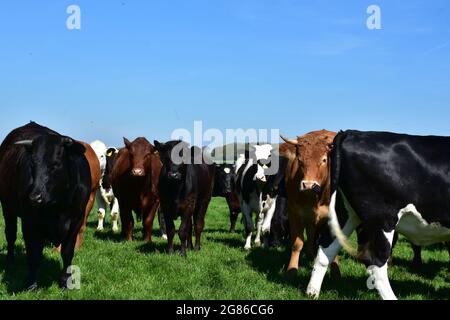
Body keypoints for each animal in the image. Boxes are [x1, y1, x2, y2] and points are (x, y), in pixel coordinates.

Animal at [0, 121, 94, 288]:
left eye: (56, 164)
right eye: (33, 164)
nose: (35, 197)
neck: (59, 206)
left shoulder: (76, 220)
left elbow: (67, 252)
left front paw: (65, 281)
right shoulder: (29, 222)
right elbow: (34, 253)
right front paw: (31, 283)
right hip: (7, 207)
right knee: (10, 234)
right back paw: (10, 262)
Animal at [280, 129, 340, 276]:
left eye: (324, 160)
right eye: (300, 160)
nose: (308, 185)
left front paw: (336, 271)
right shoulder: (294, 212)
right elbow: (297, 243)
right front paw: (292, 269)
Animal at [308, 130, 450, 300]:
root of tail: (351, 132)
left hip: (343, 211)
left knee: (326, 248)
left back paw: (312, 292)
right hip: (382, 218)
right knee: (375, 261)